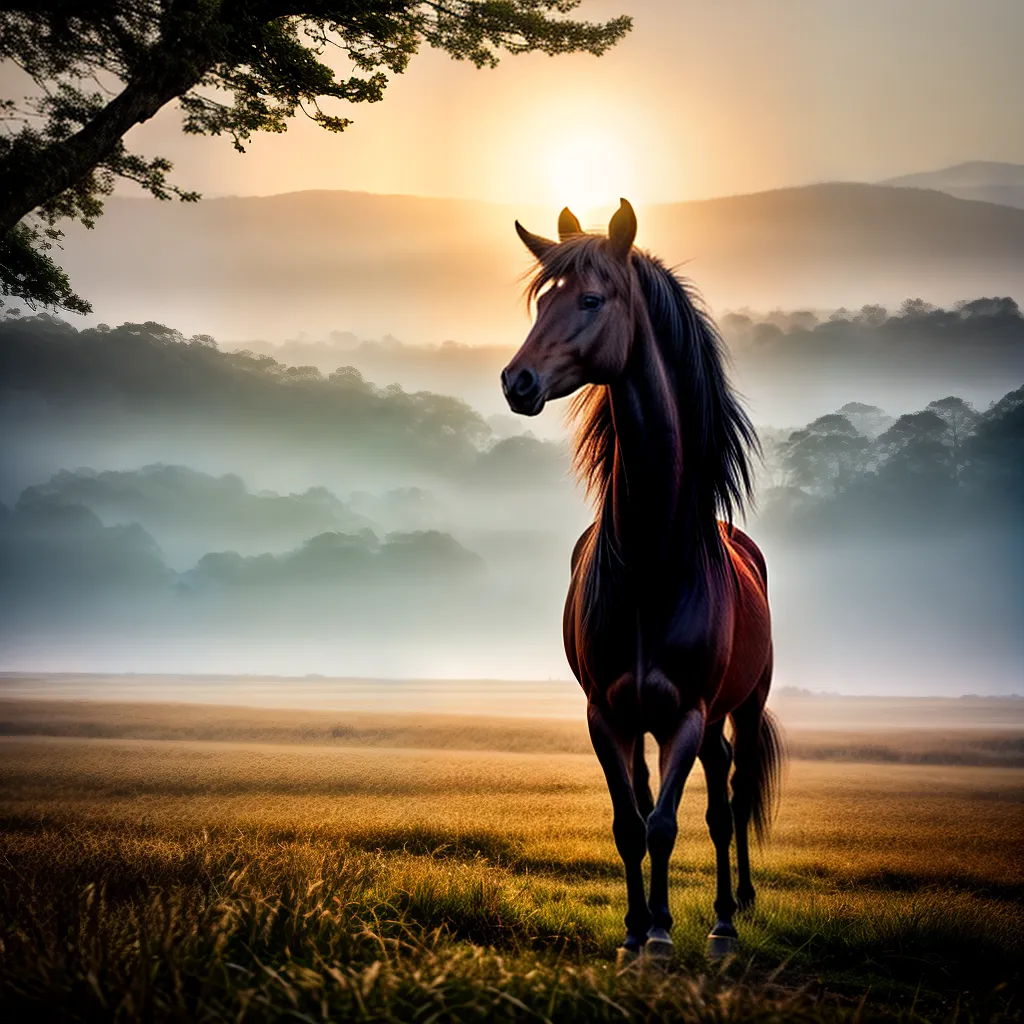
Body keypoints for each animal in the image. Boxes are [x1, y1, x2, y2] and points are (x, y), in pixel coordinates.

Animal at [500, 199, 784, 962]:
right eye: (542, 299)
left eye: (591, 300)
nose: (516, 382)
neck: (653, 563)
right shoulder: (607, 712)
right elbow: (632, 822)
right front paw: (634, 930)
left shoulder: (687, 712)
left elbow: (667, 823)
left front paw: (661, 933)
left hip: (736, 711)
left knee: (728, 797)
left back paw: (729, 915)